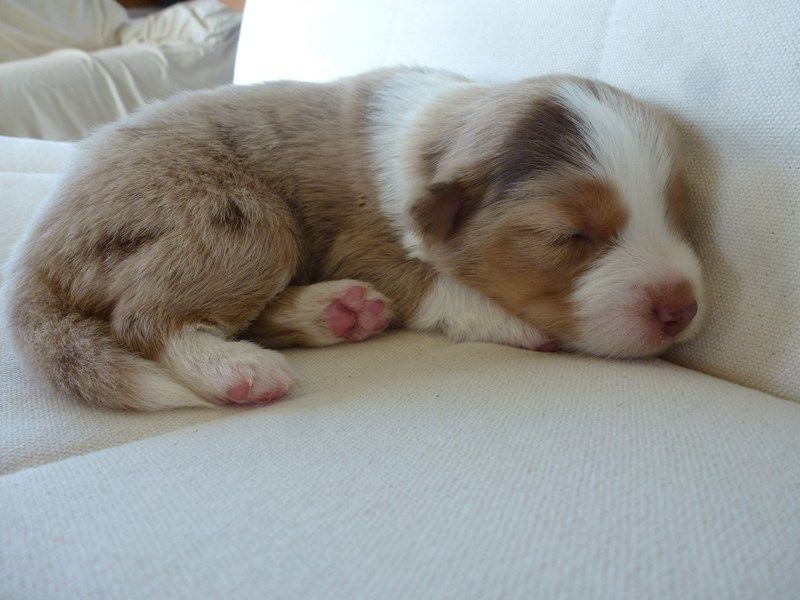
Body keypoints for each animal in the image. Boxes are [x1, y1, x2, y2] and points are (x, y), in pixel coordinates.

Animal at [7, 68, 708, 410]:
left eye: (678, 213)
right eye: (567, 235)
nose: (680, 309)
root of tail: (34, 252)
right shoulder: (367, 239)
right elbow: (433, 283)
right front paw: (515, 324)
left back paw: (339, 312)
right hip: (243, 222)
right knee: (143, 319)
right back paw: (239, 370)